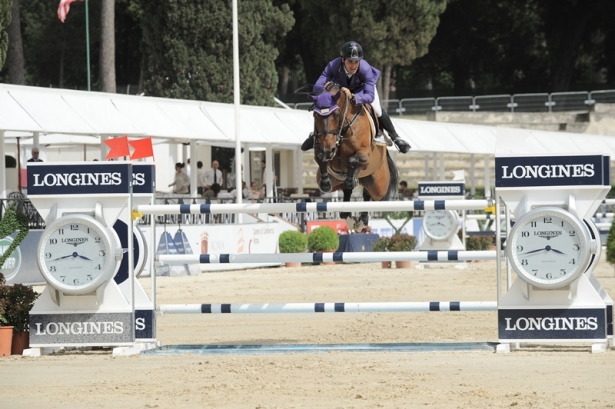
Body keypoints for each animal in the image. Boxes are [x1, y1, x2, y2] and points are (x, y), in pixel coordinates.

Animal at [310, 83, 398, 230]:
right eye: (315, 115)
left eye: (336, 114)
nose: (328, 149)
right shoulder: (321, 148)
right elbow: (321, 158)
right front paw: (325, 183)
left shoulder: (365, 155)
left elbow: (352, 160)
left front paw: (350, 180)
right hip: (340, 181)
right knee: (348, 193)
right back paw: (349, 218)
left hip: (378, 186)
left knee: (369, 194)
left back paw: (362, 220)